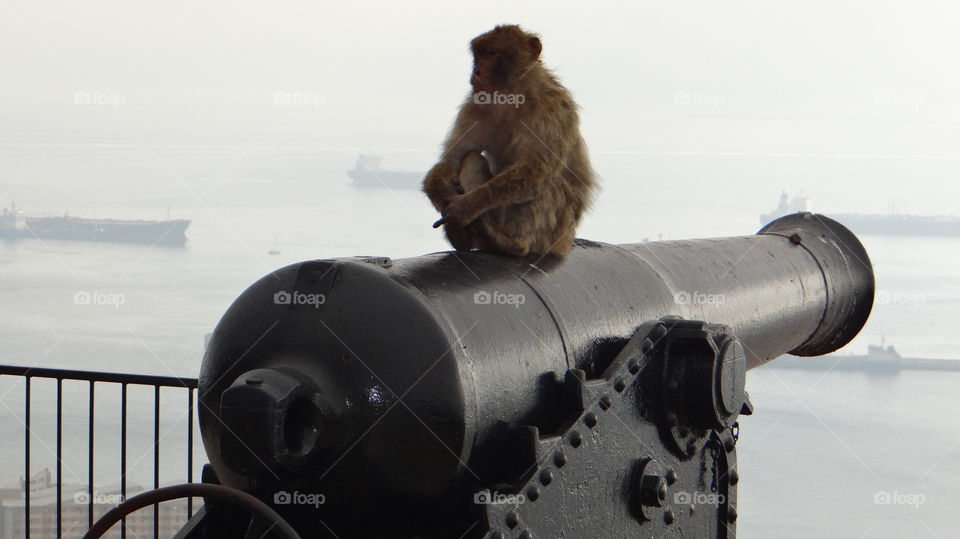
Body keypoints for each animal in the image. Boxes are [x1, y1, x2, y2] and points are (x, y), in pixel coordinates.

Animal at [422, 24, 597, 257]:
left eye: (492, 53)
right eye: (478, 55)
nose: (476, 72)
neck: (512, 97)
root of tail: (565, 244)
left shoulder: (552, 111)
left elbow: (534, 172)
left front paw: (463, 208)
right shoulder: (473, 107)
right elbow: (453, 159)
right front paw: (440, 193)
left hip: (554, 235)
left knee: (546, 182)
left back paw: (511, 244)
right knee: (472, 158)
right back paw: (467, 236)